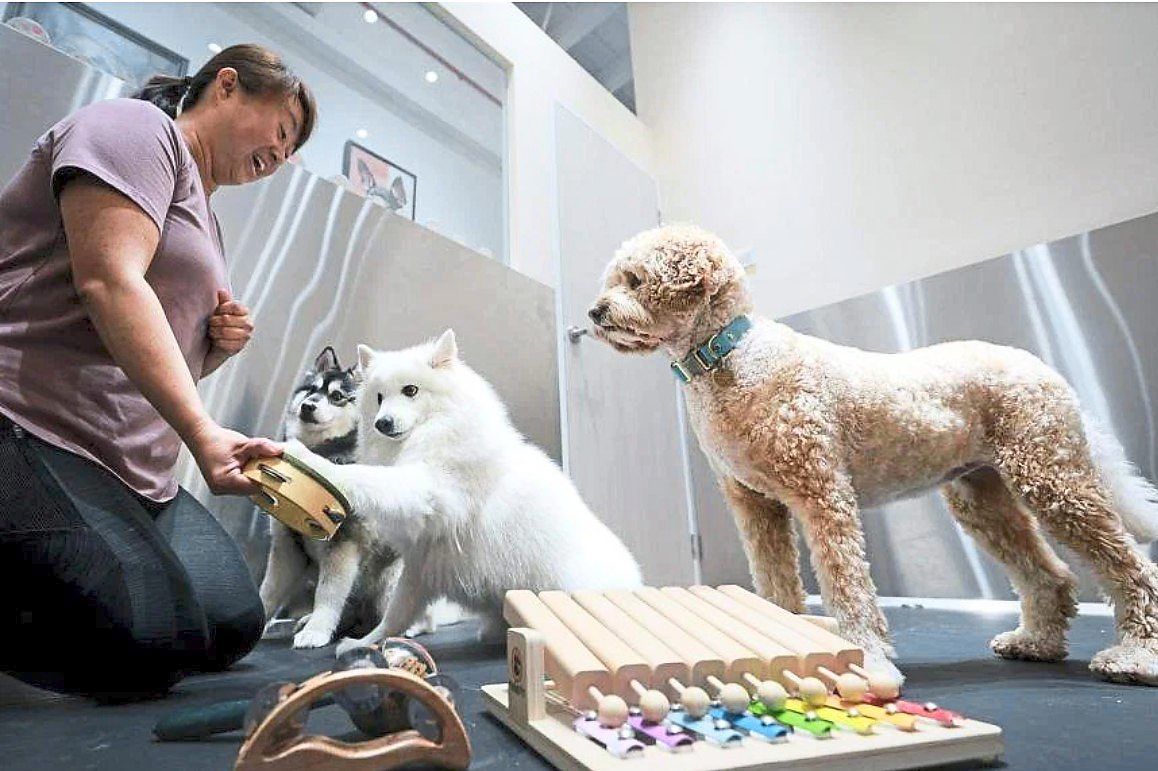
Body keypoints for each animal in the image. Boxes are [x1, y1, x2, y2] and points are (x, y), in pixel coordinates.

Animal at [280, 328, 643, 648]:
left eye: (411, 391)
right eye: (379, 398)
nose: (382, 423)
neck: (434, 432)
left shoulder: (426, 487)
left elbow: (366, 477)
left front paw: (309, 458)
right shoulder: (419, 561)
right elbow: (397, 612)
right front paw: (363, 643)